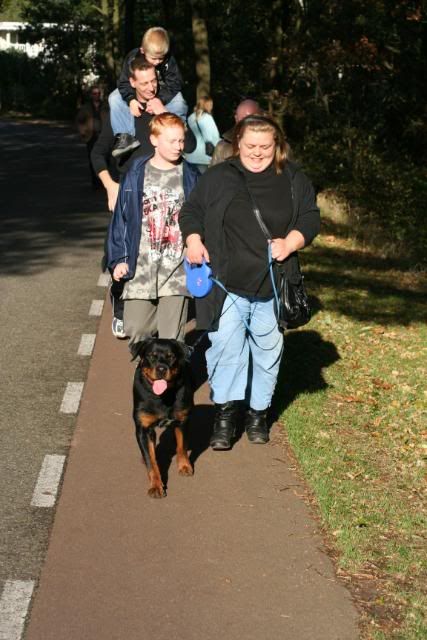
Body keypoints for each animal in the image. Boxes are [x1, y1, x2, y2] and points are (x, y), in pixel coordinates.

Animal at [132, 338, 194, 498]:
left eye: (171, 356)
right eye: (151, 356)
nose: (161, 368)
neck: (163, 396)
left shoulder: (182, 420)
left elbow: (182, 446)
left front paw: (184, 466)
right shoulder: (143, 428)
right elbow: (151, 461)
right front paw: (156, 486)